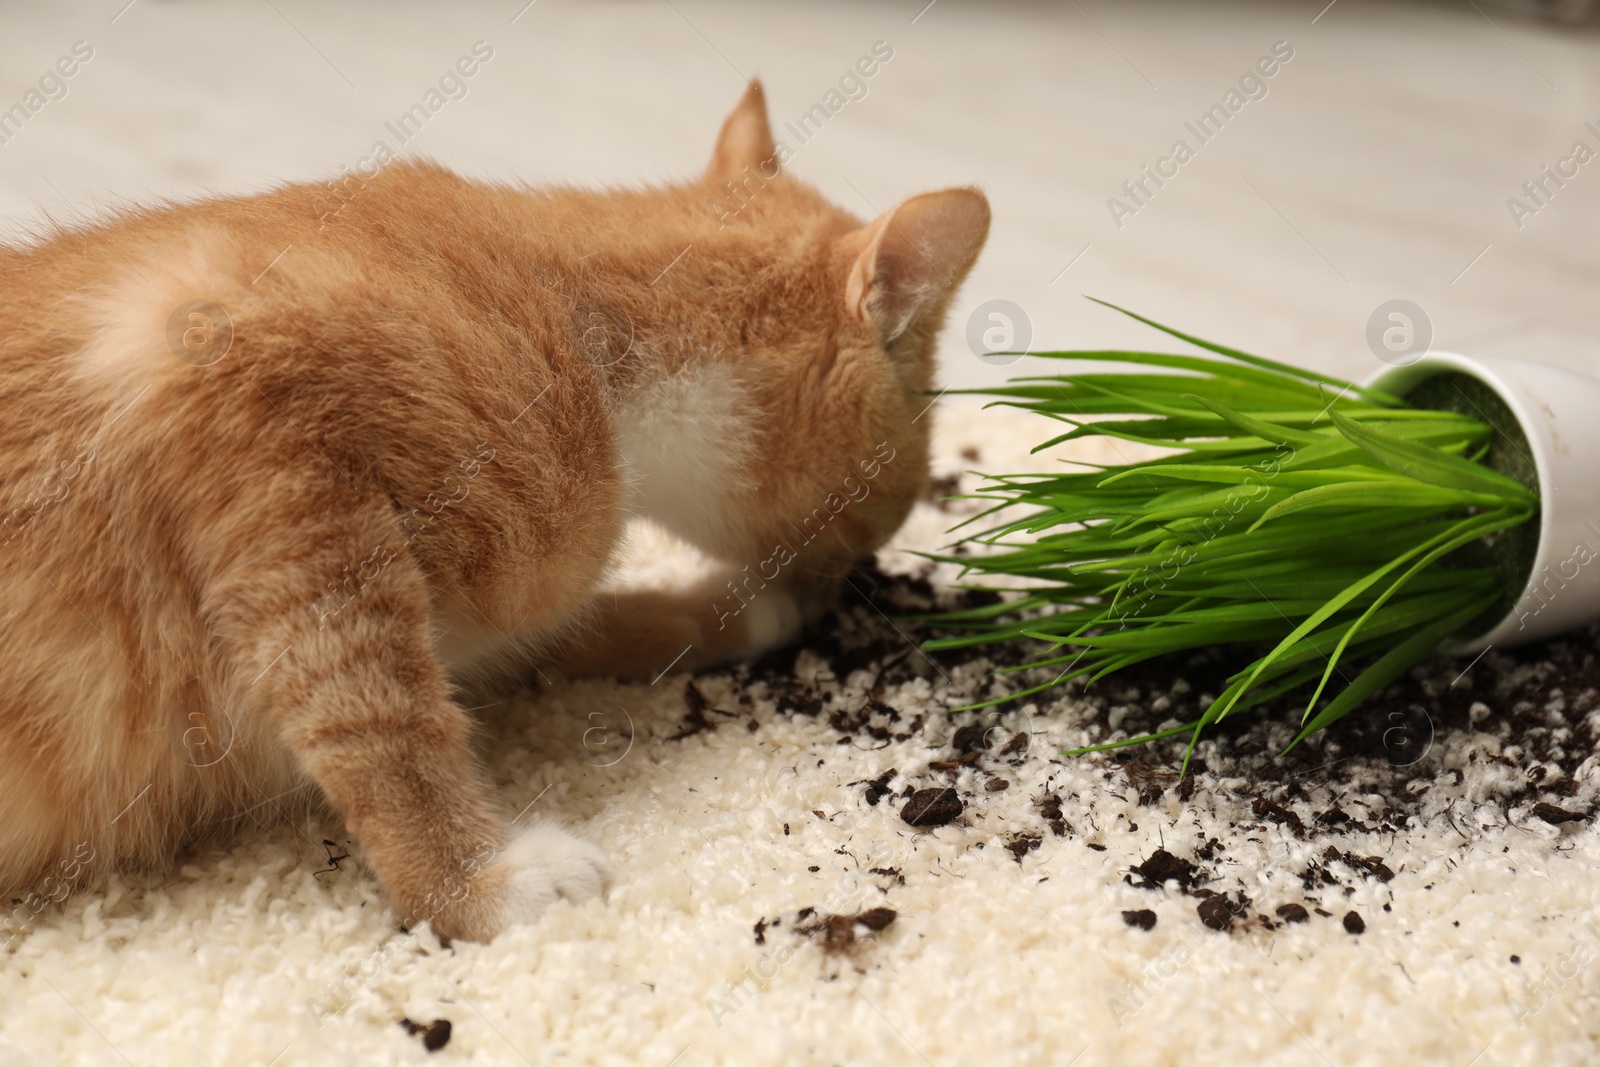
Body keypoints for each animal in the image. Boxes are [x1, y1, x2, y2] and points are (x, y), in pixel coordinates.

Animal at [0, 83, 985, 940]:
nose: (854, 579)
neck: (585, 315)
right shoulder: (254, 426)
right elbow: (385, 718)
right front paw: (472, 888)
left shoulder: (496, 609)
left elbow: (557, 635)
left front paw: (721, 611)